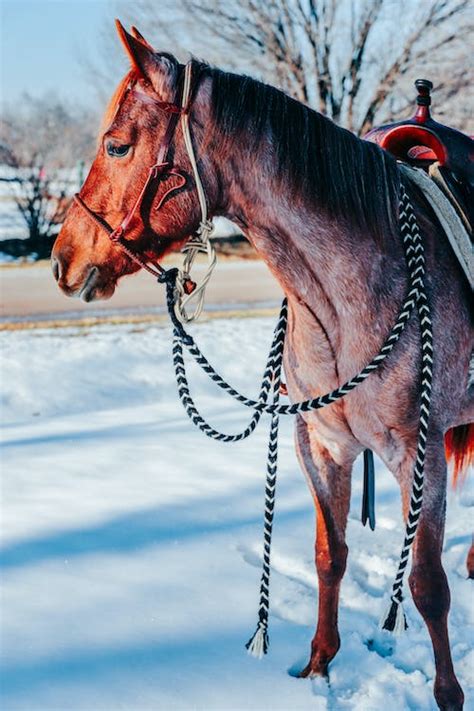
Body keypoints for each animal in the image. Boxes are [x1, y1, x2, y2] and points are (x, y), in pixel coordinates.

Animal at [52, 22, 474, 711]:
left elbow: (427, 586)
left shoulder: (421, 451)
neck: (345, 296)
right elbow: (331, 555)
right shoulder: (322, 444)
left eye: (116, 146)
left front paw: (448, 694)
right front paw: (319, 665)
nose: (62, 259)